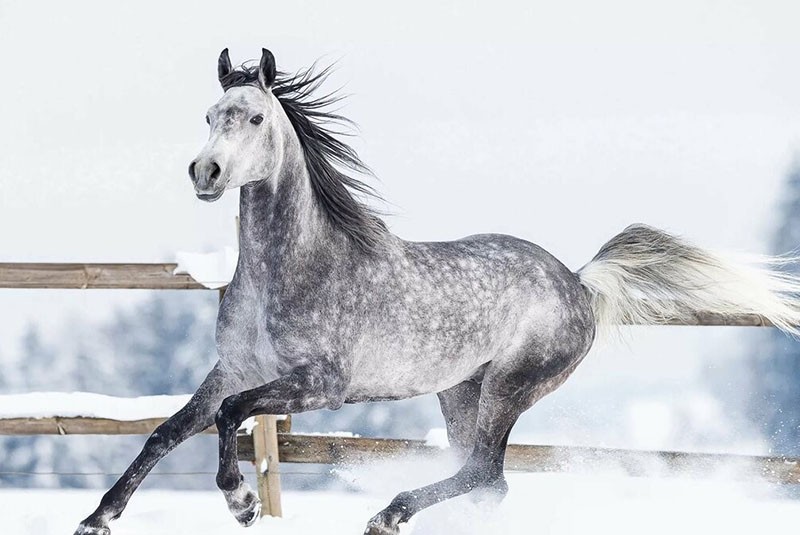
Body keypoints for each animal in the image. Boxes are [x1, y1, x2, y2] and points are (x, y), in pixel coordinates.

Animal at [75, 47, 800, 535]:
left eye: (253, 118)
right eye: (208, 115)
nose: (206, 171)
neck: (291, 267)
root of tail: (577, 280)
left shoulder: (320, 385)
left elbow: (230, 419)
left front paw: (241, 501)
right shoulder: (232, 370)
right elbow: (165, 433)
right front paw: (97, 517)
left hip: (510, 385)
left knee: (486, 473)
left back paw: (388, 513)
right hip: (460, 391)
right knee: (486, 483)